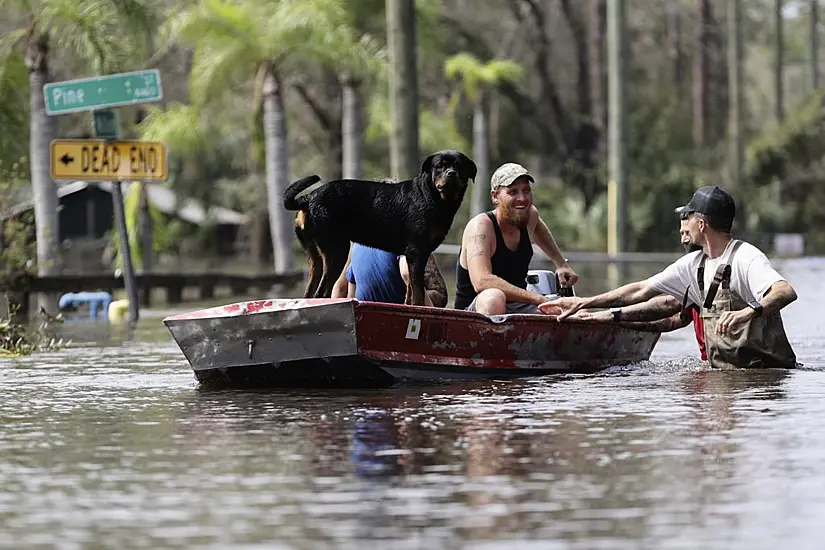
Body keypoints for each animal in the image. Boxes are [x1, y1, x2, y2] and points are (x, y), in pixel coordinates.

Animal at [284, 150, 476, 306]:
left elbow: (410, 290)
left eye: (460, 166)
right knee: (322, 292)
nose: (451, 173)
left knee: (311, 287)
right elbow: (418, 291)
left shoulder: (412, 256)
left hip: (314, 255)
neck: (432, 197)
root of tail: (309, 197)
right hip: (336, 250)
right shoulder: (417, 252)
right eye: (439, 166)